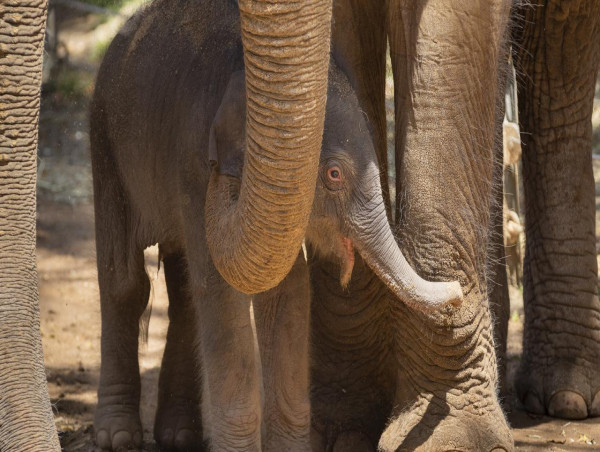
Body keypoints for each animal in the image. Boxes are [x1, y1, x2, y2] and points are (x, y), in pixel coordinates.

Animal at [91, 0, 462, 452]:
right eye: (334, 174)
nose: (458, 291)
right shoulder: (192, 166)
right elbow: (222, 290)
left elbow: (289, 291)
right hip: (103, 139)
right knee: (126, 282)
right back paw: (117, 436)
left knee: (183, 290)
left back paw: (179, 435)